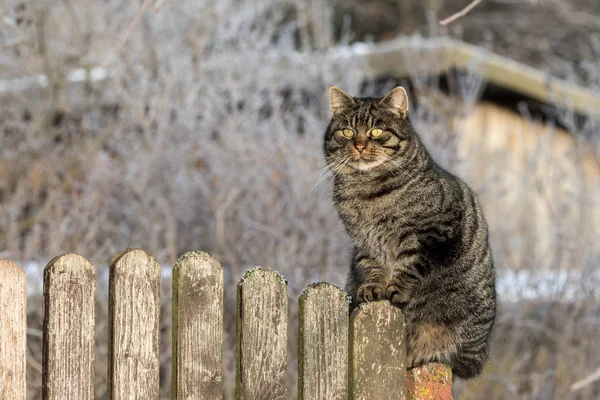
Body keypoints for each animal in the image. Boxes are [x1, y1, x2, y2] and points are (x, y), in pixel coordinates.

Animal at [324, 86, 496, 380]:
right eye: (347, 131)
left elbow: (410, 264)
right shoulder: (362, 241)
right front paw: (374, 287)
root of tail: (482, 352)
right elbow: (371, 265)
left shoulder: (428, 233)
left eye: (376, 132)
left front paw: (397, 289)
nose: (359, 145)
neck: (364, 189)